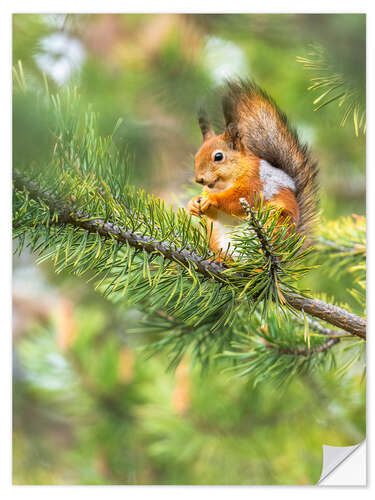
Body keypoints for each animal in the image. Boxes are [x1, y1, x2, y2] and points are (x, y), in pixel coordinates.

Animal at [188, 80, 320, 260]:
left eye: (218, 156)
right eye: (196, 156)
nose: (199, 179)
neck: (224, 184)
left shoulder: (254, 183)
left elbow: (237, 200)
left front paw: (213, 199)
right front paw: (193, 204)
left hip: (275, 224)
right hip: (214, 234)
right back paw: (222, 260)